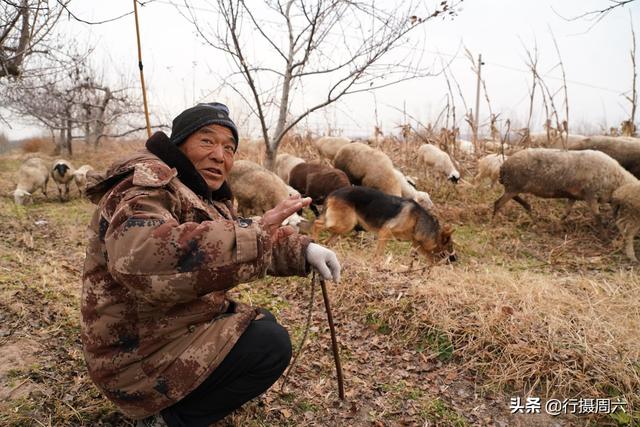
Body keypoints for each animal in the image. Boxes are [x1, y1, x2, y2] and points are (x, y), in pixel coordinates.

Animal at [314, 186, 456, 262]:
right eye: (450, 247)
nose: (456, 260)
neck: (418, 220)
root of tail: (333, 193)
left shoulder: (416, 243)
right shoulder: (385, 233)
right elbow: (379, 253)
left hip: (343, 227)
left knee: (328, 241)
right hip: (345, 224)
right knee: (317, 223)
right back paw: (314, 240)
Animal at [492, 149, 636, 222]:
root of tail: (503, 166)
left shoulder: (573, 195)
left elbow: (567, 212)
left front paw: (558, 225)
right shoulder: (590, 194)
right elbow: (597, 217)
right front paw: (604, 236)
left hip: (514, 186)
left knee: (510, 198)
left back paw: (530, 211)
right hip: (514, 185)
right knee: (498, 202)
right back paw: (493, 221)